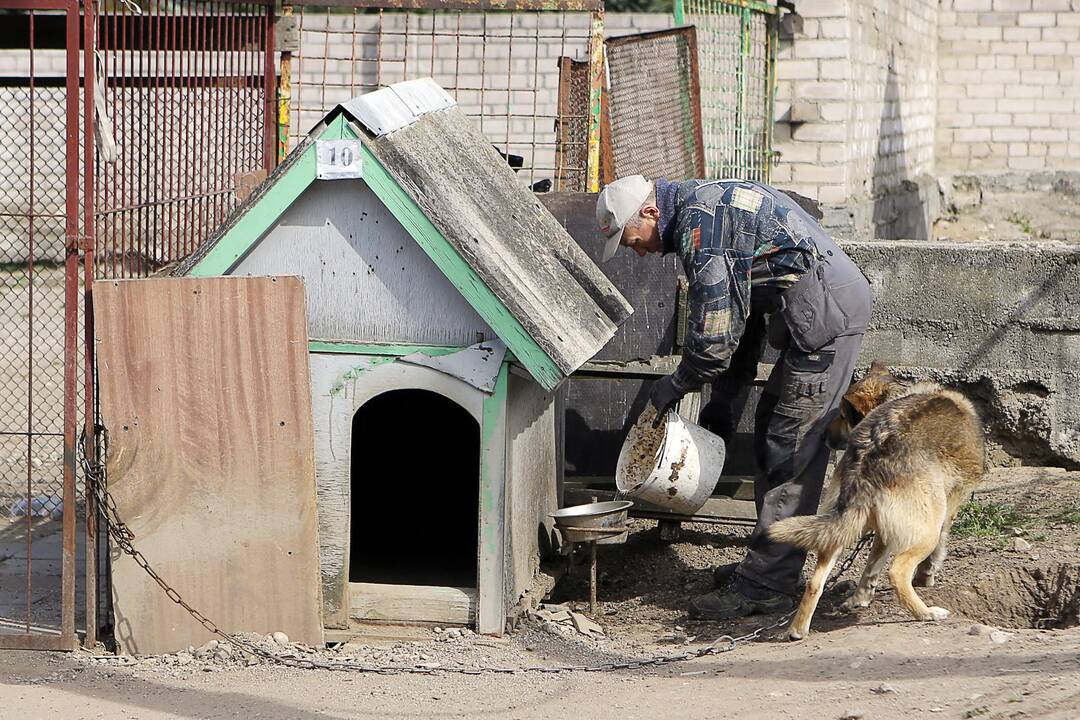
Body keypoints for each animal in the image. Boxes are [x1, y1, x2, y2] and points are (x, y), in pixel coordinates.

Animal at [768, 362, 989, 639]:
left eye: (842, 416)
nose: (823, 437)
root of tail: (869, 453)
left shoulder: (883, 532)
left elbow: (871, 567)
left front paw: (859, 599)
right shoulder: (950, 508)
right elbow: (938, 548)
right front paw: (926, 576)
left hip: (837, 532)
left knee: (814, 582)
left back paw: (798, 630)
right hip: (927, 529)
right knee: (897, 572)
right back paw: (926, 613)